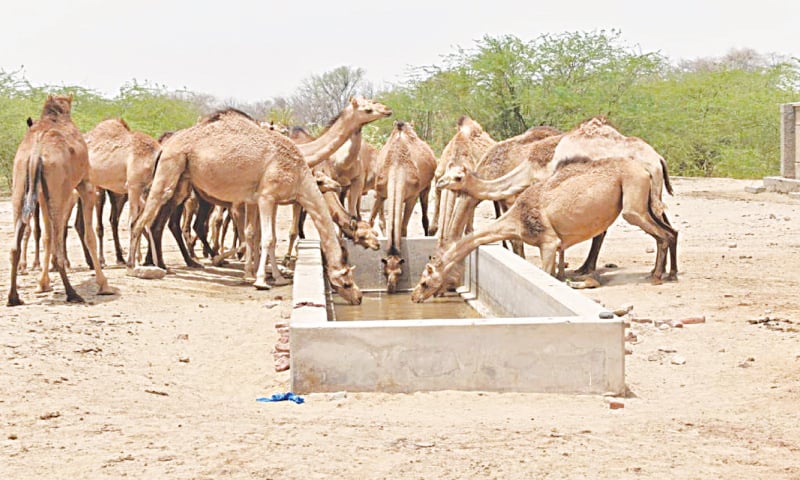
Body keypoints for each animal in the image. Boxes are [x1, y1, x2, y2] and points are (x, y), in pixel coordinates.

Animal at [7, 94, 112, 308]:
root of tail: (36, 154)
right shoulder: (86, 185)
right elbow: (88, 235)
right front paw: (103, 284)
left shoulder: (42, 194)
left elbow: (47, 237)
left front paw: (43, 284)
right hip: (57, 190)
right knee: (58, 240)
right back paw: (72, 293)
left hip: (21, 185)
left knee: (16, 245)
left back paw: (13, 297)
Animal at [128, 108, 366, 304]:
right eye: (346, 281)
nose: (358, 297)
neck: (300, 171)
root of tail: (165, 145)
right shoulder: (265, 196)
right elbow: (265, 238)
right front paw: (259, 279)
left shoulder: (262, 199)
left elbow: (260, 236)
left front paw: (274, 275)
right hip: (171, 169)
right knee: (144, 220)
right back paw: (136, 266)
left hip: (182, 181)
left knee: (157, 222)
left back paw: (161, 264)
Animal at [370, 122, 438, 290]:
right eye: (385, 271)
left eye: (400, 272)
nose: (391, 286)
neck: (396, 167)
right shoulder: (379, 192)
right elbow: (370, 220)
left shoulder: (411, 197)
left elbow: (403, 228)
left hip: (426, 187)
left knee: (424, 216)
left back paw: (428, 234)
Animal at [410, 156, 680, 302]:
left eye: (425, 281)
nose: (414, 296)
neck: (517, 219)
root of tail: (647, 169)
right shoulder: (556, 242)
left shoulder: (548, 242)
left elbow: (548, 273)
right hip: (645, 202)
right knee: (671, 231)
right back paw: (669, 274)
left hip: (633, 204)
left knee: (662, 234)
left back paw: (657, 276)